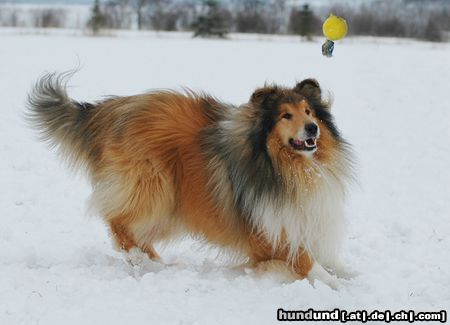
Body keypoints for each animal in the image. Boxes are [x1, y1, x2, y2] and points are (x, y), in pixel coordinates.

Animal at [27, 72, 356, 288]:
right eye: (286, 116)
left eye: (309, 111)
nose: (312, 128)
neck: (290, 169)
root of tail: (108, 110)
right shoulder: (266, 232)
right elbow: (307, 262)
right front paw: (336, 287)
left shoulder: (300, 220)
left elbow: (328, 260)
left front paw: (349, 275)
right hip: (154, 188)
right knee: (117, 222)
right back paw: (144, 261)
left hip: (170, 205)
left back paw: (155, 262)